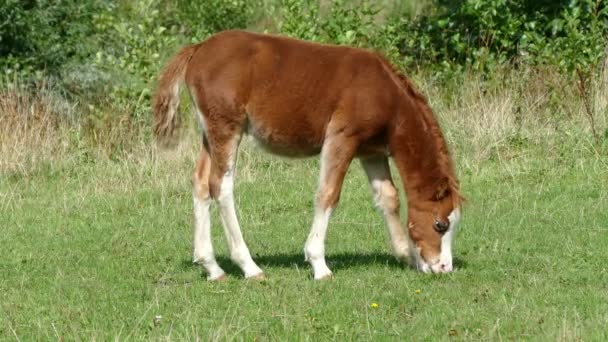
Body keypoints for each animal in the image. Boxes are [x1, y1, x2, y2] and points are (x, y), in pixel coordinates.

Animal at [152, 29, 460, 280]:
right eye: (440, 224)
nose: (444, 267)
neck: (384, 94)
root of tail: (199, 49)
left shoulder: (371, 152)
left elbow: (389, 198)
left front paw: (409, 257)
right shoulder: (341, 139)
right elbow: (328, 194)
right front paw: (319, 265)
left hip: (210, 134)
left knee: (201, 183)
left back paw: (212, 267)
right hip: (228, 128)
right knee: (221, 185)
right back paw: (249, 267)